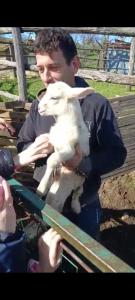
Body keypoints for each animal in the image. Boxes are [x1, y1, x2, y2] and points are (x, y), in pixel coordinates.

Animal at [36, 80, 94, 213]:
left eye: (54, 98)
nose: (39, 108)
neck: (66, 124)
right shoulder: (53, 139)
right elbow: (44, 139)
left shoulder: (69, 150)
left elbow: (52, 159)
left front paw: (42, 187)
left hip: (80, 184)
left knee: (76, 194)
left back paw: (76, 207)